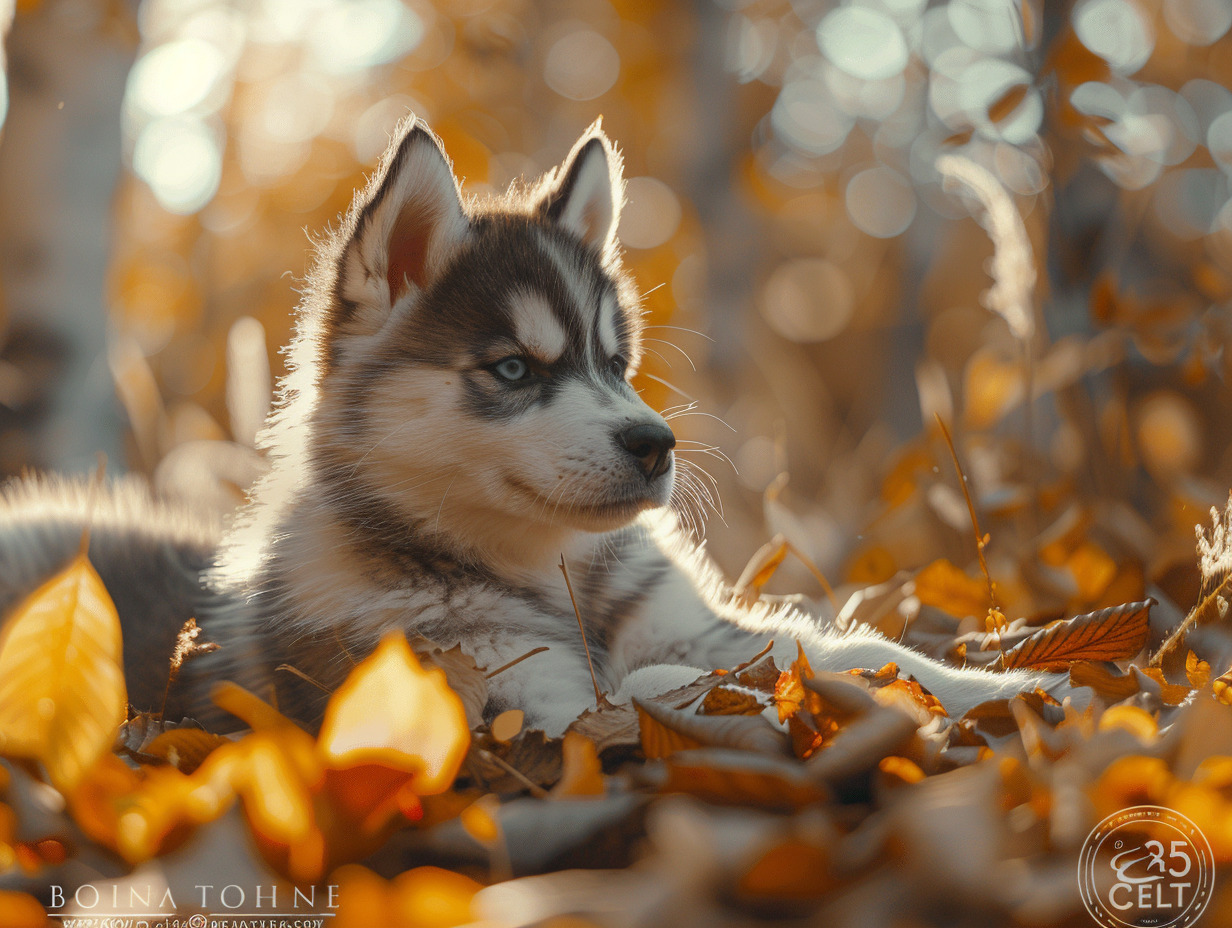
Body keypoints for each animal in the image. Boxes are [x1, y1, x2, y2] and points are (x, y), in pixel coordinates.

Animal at [0, 119, 1064, 734]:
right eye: (513, 370)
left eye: (614, 365)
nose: (656, 445)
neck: (546, 577)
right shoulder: (507, 688)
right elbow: (668, 689)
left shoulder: (693, 623)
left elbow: (853, 652)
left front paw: (1014, 690)